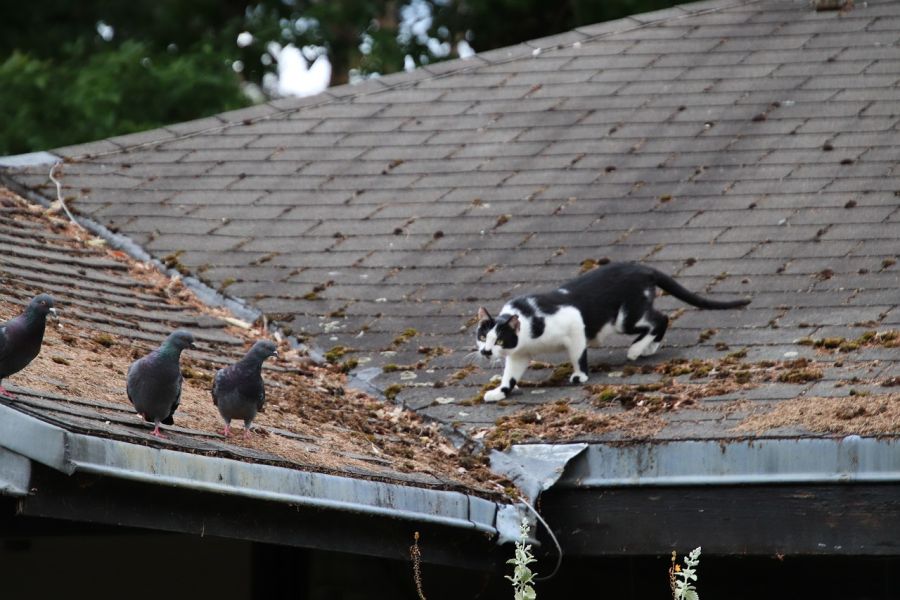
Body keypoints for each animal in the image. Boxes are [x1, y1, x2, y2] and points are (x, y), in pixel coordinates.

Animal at [478, 264, 752, 400]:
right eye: (482, 337)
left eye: (499, 339)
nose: (486, 352)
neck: (530, 327)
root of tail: (642, 268)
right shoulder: (519, 354)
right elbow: (510, 375)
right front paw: (499, 392)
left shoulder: (574, 323)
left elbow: (577, 354)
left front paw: (580, 376)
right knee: (658, 320)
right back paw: (648, 348)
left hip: (625, 319)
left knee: (660, 318)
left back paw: (636, 350)